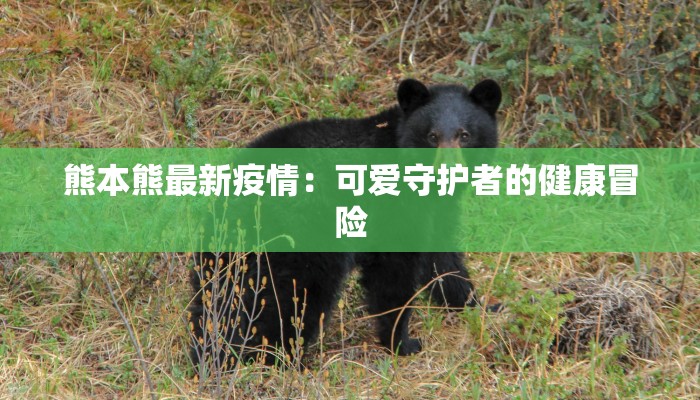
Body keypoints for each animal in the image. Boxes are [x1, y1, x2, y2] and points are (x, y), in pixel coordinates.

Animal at [188, 78, 502, 369]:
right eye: (432, 136)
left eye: (465, 135)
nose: (450, 170)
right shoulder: (390, 210)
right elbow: (393, 275)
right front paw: (402, 342)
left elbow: (443, 260)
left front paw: (481, 304)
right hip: (305, 241)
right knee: (295, 299)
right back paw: (283, 359)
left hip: (223, 251)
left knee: (214, 300)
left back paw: (210, 354)